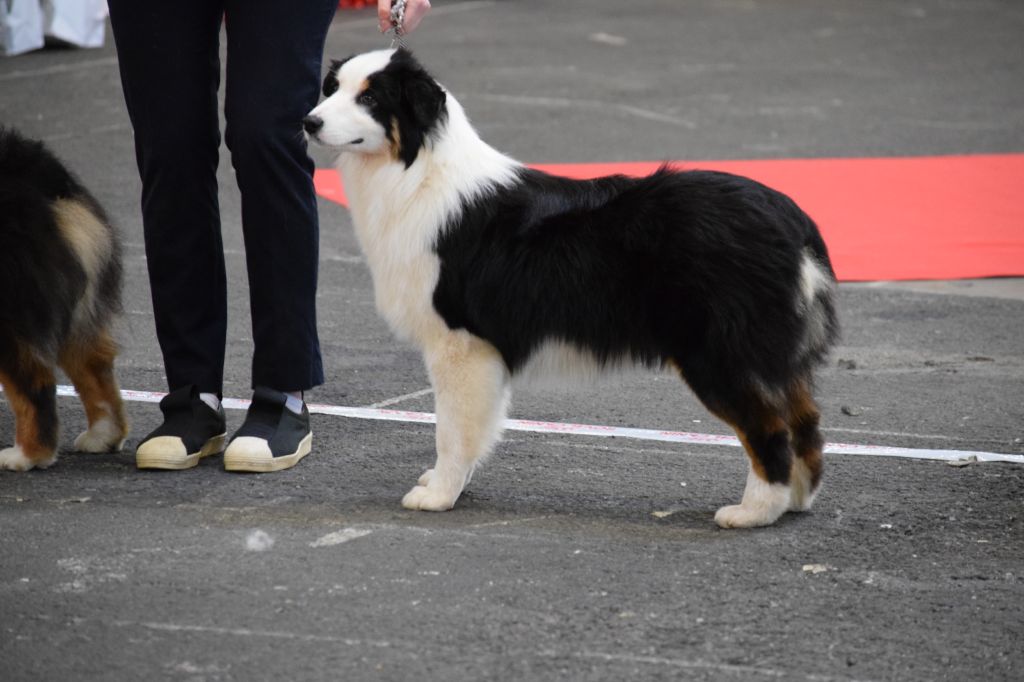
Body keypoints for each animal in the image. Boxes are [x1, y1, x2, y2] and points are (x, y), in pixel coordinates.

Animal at [303, 49, 839, 528]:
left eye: (370, 98)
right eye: (333, 88)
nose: (308, 122)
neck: (415, 171)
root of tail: (791, 218)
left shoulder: (460, 342)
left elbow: (451, 430)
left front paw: (438, 495)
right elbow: (475, 427)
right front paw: (447, 483)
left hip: (717, 353)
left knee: (769, 429)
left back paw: (754, 512)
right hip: (769, 355)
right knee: (805, 422)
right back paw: (795, 501)